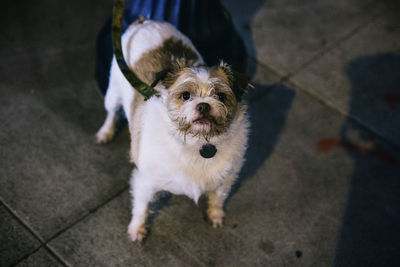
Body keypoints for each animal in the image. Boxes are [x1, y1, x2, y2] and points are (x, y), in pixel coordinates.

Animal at [95, 18, 250, 243]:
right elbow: (141, 208)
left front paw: (215, 215)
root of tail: (145, 21)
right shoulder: (145, 183)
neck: (198, 142)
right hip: (113, 93)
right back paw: (106, 132)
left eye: (221, 96)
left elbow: (218, 198)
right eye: (185, 95)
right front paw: (137, 229)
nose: (204, 105)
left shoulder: (225, 180)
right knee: (112, 113)